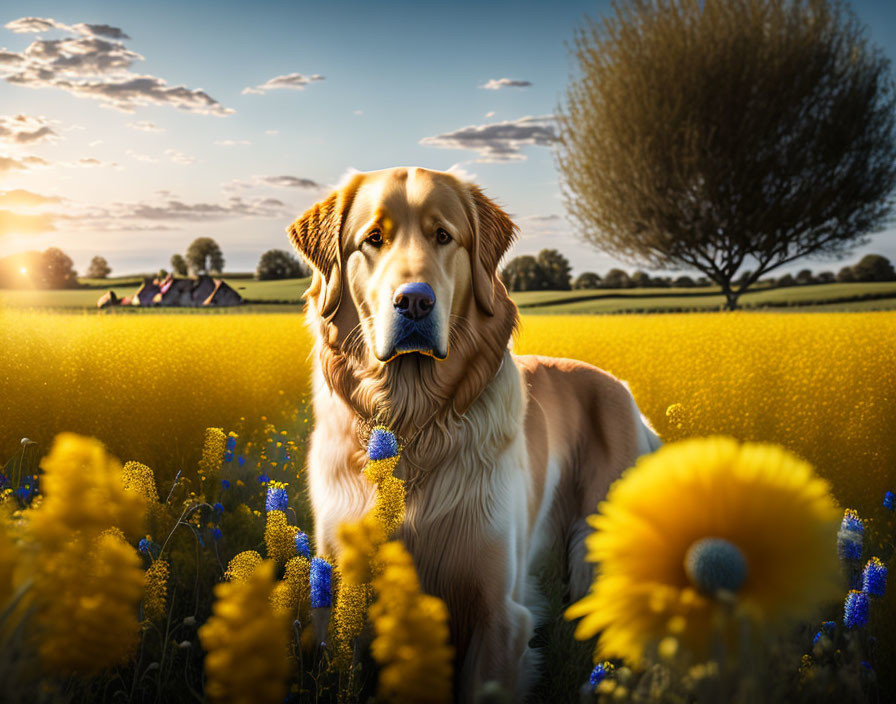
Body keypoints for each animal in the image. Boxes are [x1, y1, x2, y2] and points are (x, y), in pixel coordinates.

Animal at [288, 165, 656, 700]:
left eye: (444, 236)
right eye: (373, 239)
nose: (415, 302)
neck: (415, 423)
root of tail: (623, 390)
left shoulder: (497, 614)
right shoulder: (339, 597)